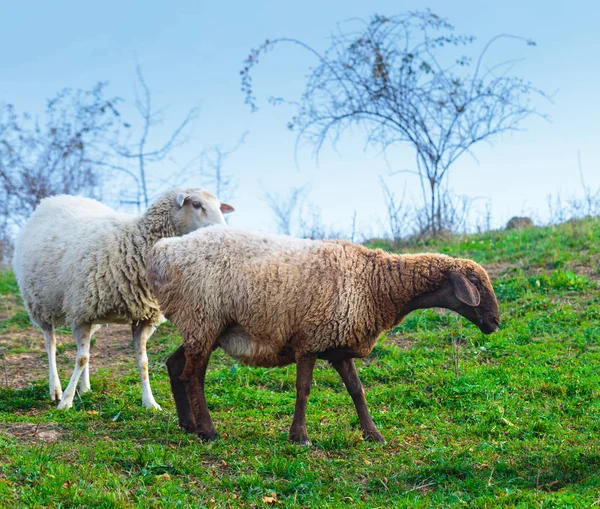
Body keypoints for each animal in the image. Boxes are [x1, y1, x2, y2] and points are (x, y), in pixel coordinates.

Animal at [13, 188, 234, 408]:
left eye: (218, 206)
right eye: (196, 204)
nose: (223, 230)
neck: (135, 242)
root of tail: (54, 199)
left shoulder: (143, 317)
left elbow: (142, 361)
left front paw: (149, 402)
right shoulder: (80, 312)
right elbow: (81, 358)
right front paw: (66, 402)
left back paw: (84, 388)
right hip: (39, 304)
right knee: (51, 344)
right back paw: (56, 389)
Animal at [148, 226, 500, 444]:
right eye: (476, 284)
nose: (495, 323)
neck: (376, 284)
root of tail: (163, 252)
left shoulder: (339, 345)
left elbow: (357, 391)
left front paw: (373, 434)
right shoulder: (310, 340)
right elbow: (303, 390)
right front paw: (299, 437)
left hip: (204, 326)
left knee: (175, 365)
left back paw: (187, 424)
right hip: (203, 317)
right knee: (193, 375)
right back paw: (207, 431)